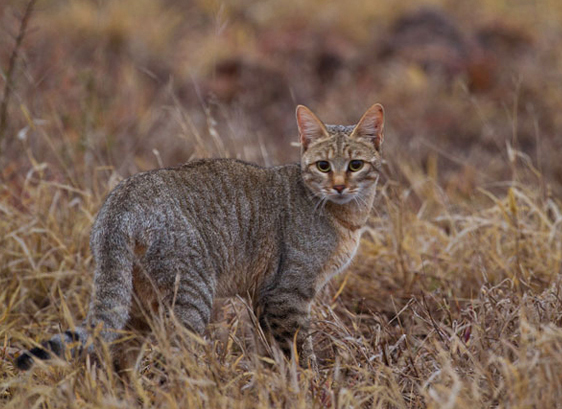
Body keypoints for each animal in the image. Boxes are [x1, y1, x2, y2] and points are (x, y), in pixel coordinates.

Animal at [17, 101, 384, 370]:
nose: (340, 186)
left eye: (355, 165)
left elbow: (267, 351)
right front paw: (310, 386)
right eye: (323, 166)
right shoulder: (287, 293)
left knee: (116, 356)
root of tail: (121, 199)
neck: (347, 218)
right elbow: (298, 351)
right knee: (172, 360)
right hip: (192, 293)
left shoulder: (260, 297)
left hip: (134, 299)